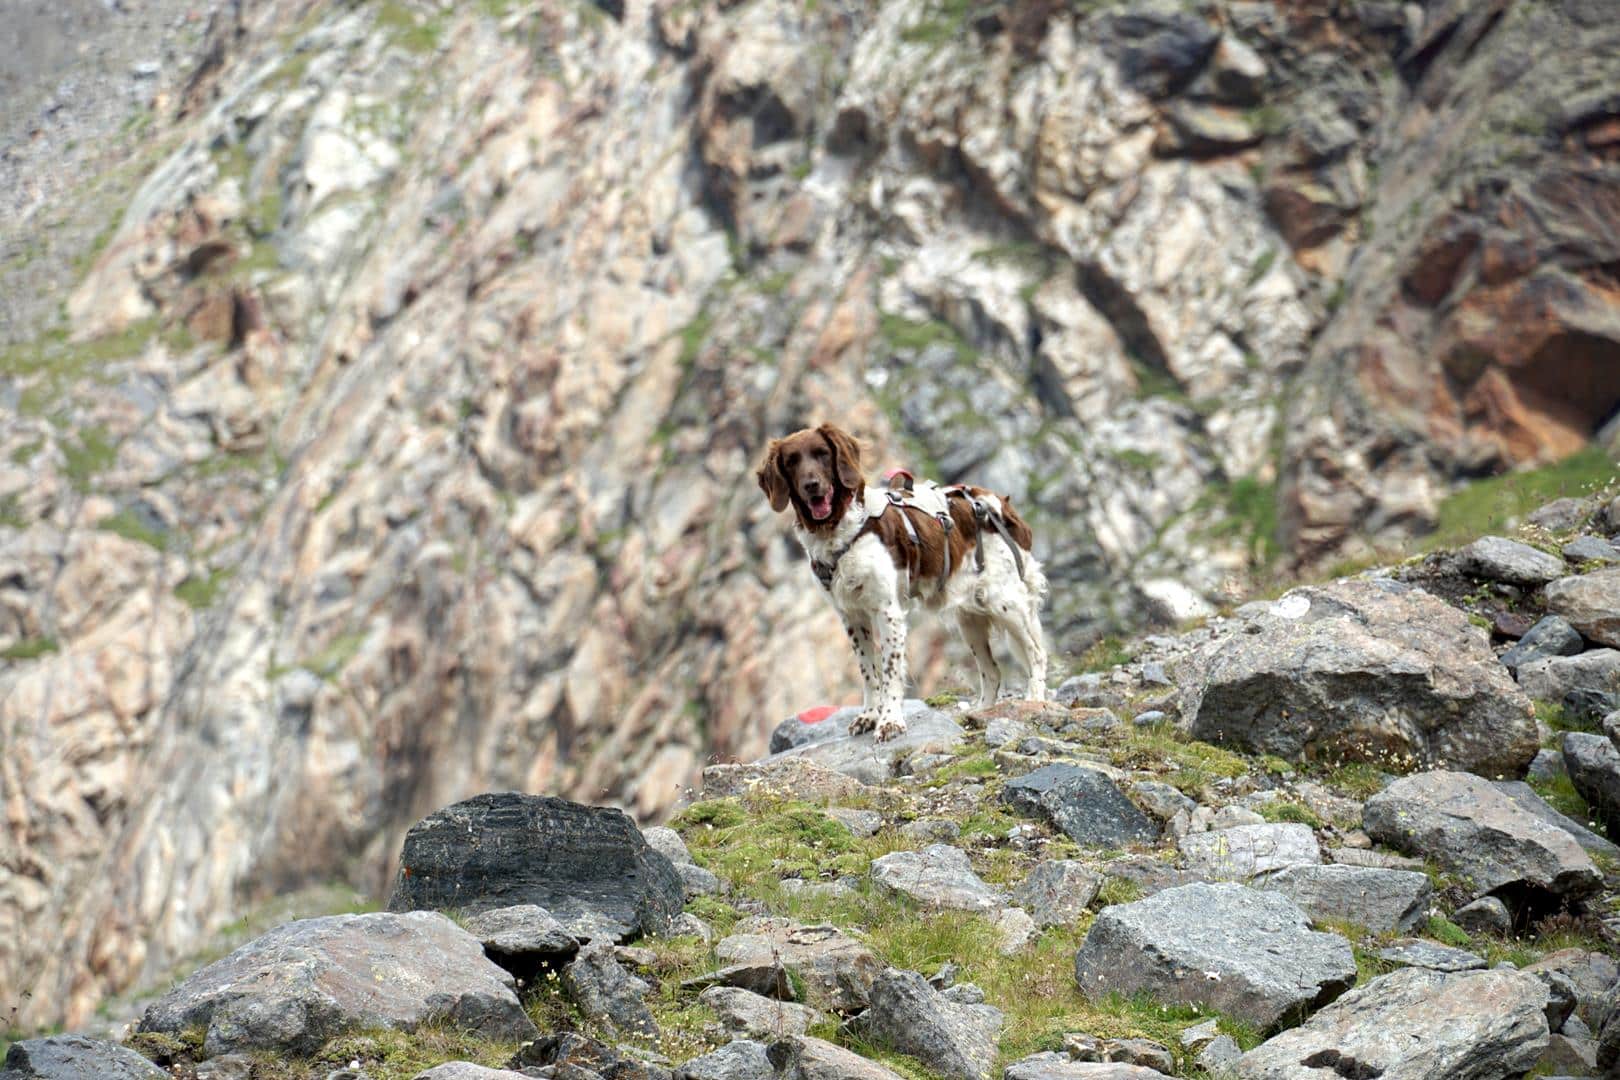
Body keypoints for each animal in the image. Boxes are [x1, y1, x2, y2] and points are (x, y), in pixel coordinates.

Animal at [758, 420, 1049, 744]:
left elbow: (889, 671)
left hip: (1003, 601)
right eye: (791, 461)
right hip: (970, 618)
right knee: (992, 671)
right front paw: (869, 716)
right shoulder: (851, 615)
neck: (839, 530)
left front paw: (889, 721)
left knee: (1037, 654)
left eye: (822, 453)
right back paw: (982, 712)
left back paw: (1035, 700)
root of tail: (997, 503)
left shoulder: (887, 610)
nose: (811, 485)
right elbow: (868, 670)